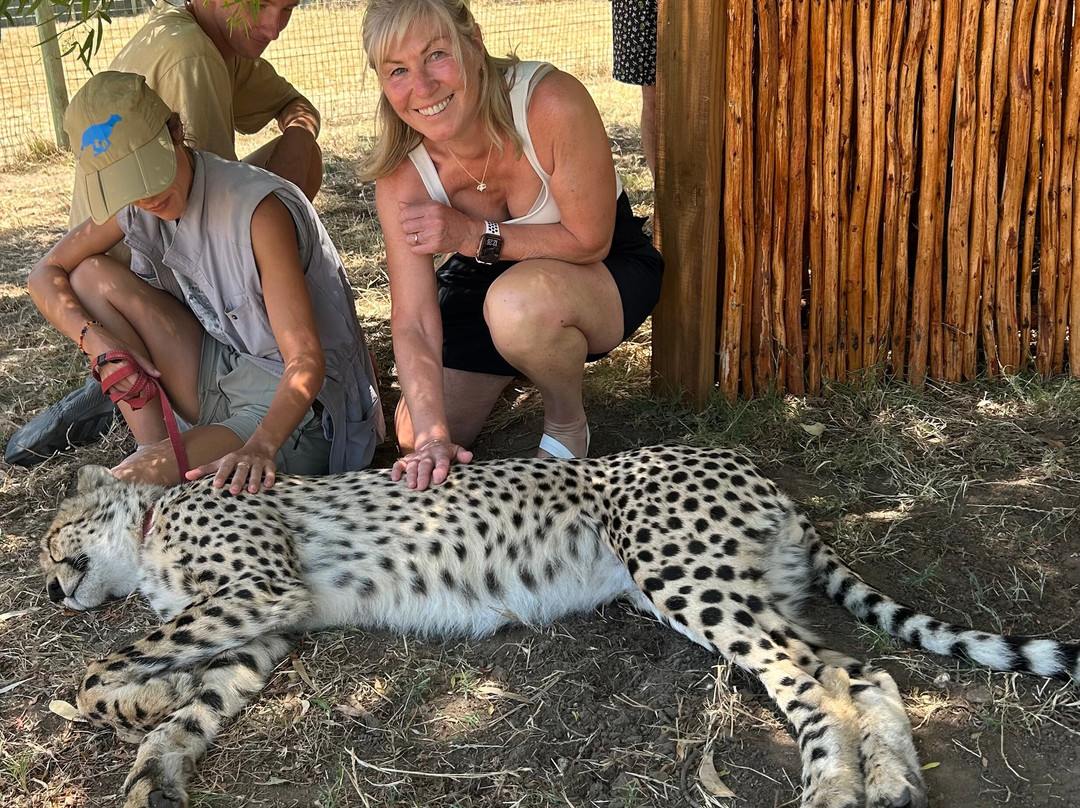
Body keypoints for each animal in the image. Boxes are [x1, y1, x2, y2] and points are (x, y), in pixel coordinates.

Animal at [40, 445, 1079, 808]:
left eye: (51, 537)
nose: (50, 590)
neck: (152, 526)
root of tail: (754, 465)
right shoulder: (266, 627)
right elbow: (190, 696)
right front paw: (156, 754)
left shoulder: (263, 587)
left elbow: (95, 674)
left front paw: (138, 697)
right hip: (728, 590)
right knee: (862, 671)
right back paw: (893, 780)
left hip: (683, 576)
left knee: (807, 678)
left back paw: (833, 785)